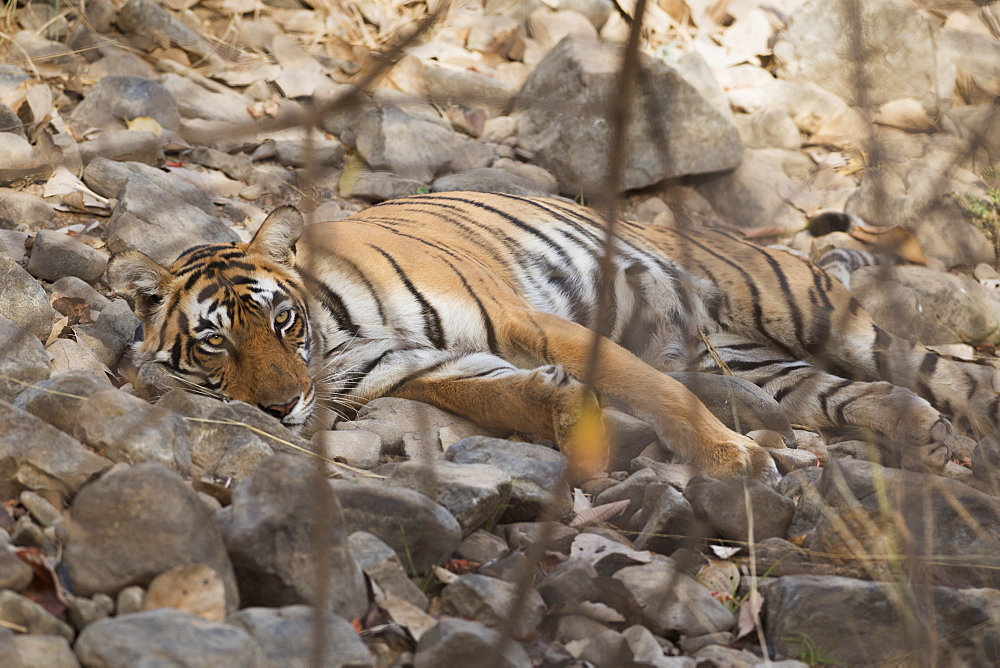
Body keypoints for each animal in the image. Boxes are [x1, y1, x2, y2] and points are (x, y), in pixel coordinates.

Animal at [105, 190, 996, 482]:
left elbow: (652, 388)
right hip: (758, 361)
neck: (337, 333)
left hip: (799, 301)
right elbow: (497, 398)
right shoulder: (414, 365)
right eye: (215, 344)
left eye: (279, 320)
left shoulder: (525, 320)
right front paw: (567, 416)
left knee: (931, 366)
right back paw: (914, 429)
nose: (281, 409)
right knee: (836, 391)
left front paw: (728, 459)